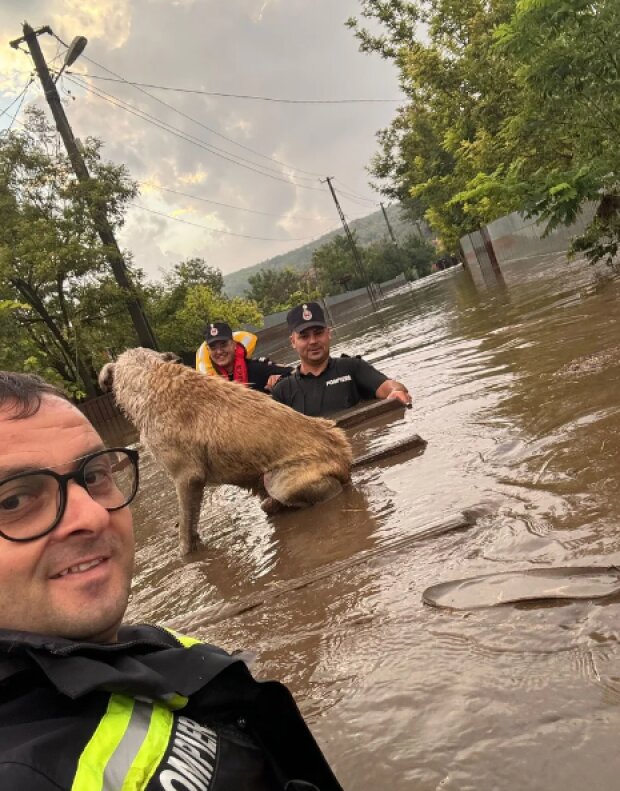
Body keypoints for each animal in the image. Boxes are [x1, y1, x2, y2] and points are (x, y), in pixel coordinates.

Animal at [101, 346, 354, 556]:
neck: (148, 377)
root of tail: (344, 455)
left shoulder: (186, 476)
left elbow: (185, 526)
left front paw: (185, 553)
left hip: (279, 481)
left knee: (328, 489)